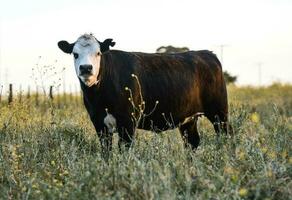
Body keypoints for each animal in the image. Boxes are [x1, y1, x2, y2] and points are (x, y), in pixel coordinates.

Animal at [56, 33, 230, 154]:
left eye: (98, 53)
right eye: (75, 54)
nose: (86, 68)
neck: (99, 97)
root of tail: (207, 53)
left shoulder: (128, 122)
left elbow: (124, 150)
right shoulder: (99, 123)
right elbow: (106, 152)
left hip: (219, 112)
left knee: (226, 136)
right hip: (188, 118)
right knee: (192, 143)